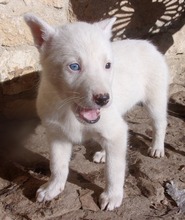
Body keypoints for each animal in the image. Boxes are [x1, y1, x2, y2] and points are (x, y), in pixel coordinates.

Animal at [23, 14, 168, 211]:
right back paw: (103, 153)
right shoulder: (56, 135)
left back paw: (157, 147)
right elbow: (57, 165)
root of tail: (147, 44)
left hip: (155, 99)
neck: (69, 110)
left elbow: (114, 169)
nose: (104, 99)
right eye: (74, 66)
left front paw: (113, 195)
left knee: (159, 124)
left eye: (107, 65)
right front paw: (52, 188)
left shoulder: (115, 130)